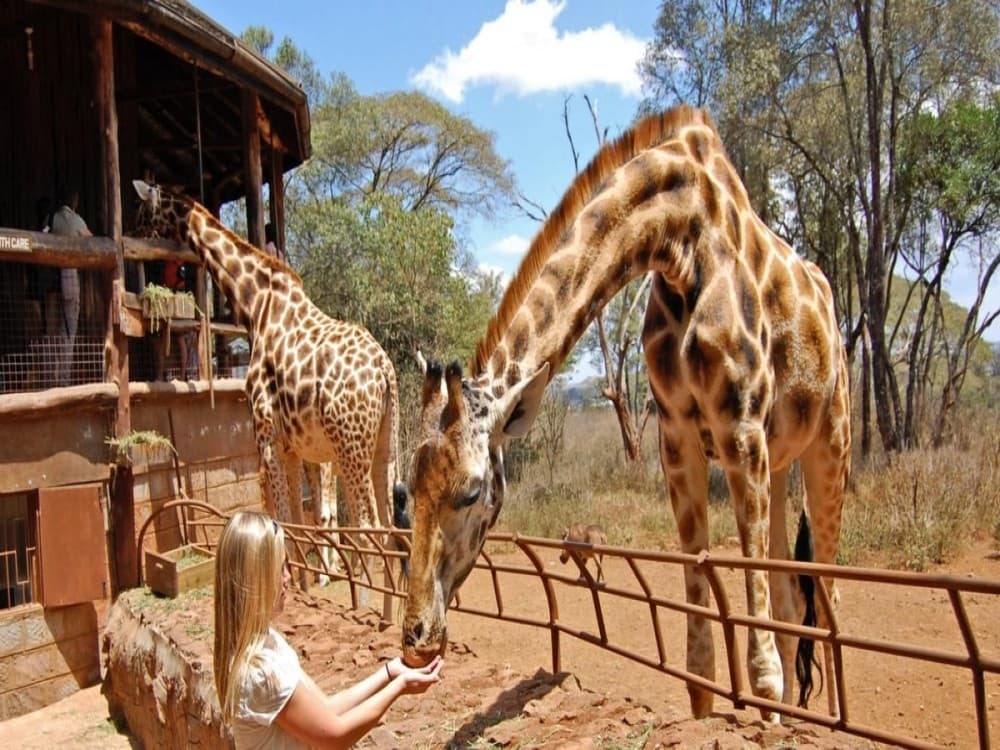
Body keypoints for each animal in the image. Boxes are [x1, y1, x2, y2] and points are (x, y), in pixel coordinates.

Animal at [131, 180, 401, 621]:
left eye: (141, 211)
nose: (135, 241)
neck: (256, 307)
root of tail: (383, 368)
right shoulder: (292, 447)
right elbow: (298, 522)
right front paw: (305, 587)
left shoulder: (265, 435)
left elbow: (284, 521)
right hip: (382, 445)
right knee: (392, 526)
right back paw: (389, 613)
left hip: (350, 446)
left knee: (368, 526)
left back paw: (373, 611)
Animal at [399, 106, 851, 722]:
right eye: (407, 488)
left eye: (470, 492)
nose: (416, 636)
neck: (681, 237)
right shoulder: (677, 437)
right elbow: (701, 664)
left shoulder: (740, 429)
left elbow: (761, 664)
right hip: (780, 461)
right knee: (787, 596)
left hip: (831, 439)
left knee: (827, 597)